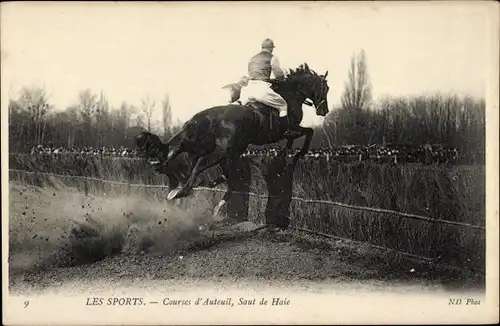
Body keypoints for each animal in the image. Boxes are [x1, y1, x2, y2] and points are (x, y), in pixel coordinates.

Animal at [136, 62, 328, 200]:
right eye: (325, 88)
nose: (323, 110)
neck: (291, 94)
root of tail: (205, 117)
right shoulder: (288, 128)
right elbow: (308, 132)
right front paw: (296, 155)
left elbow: (298, 137)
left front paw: (285, 154)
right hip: (222, 150)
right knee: (197, 164)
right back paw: (182, 190)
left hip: (203, 147)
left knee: (184, 157)